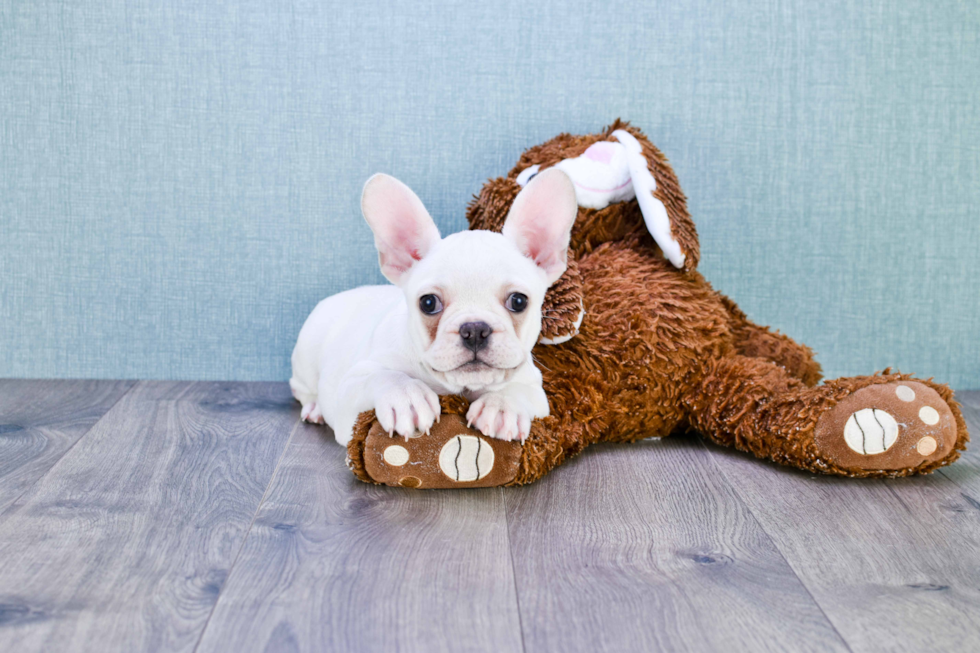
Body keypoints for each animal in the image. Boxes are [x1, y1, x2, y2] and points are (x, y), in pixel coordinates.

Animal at [288, 168, 580, 446]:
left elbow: (516, 390)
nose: (475, 329)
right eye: (428, 303)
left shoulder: (534, 387)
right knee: (302, 389)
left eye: (518, 301)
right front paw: (407, 396)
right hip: (305, 358)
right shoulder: (349, 391)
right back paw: (314, 408)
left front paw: (501, 406)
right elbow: (383, 376)